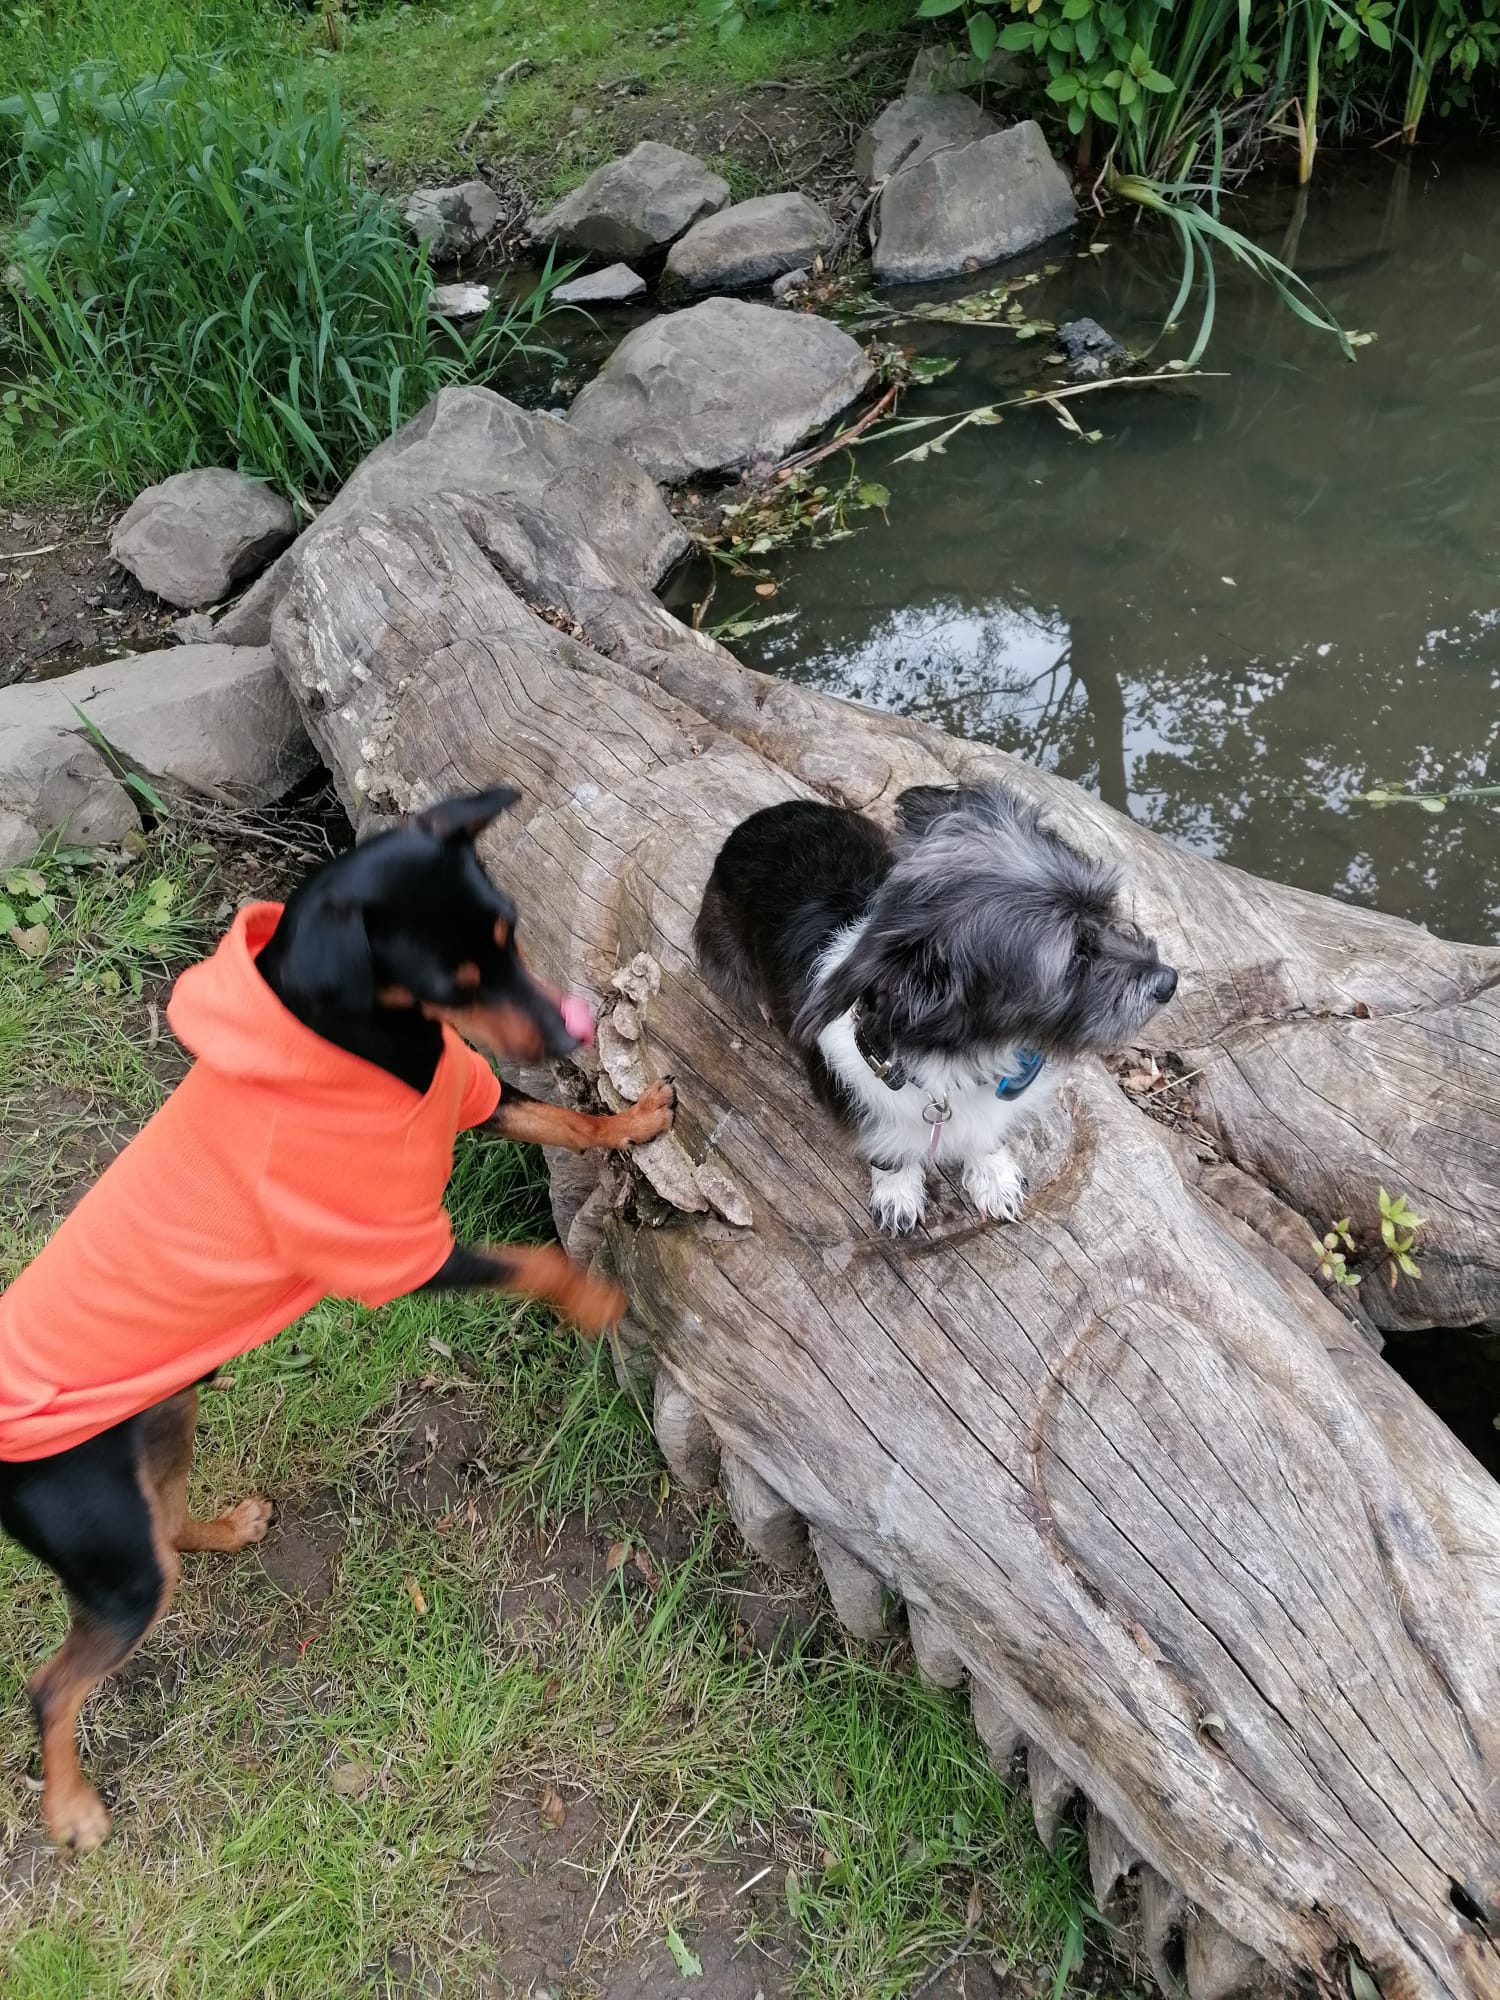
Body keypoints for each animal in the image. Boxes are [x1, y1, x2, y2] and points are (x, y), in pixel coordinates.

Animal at [0, 785, 673, 1852]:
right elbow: (531, 1260)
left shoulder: (472, 1093)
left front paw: (638, 1118)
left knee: (167, 1525)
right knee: (50, 1685)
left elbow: (561, 1118)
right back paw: (72, 1808)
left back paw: (228, 1530)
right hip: (112, 1554)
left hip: (163, 1427)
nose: (568, 1031)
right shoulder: (398, 1252)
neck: (379, 1051)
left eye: (510, 935)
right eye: (452, 978)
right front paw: (595, 1294)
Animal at [694, 783, 1176, 1234]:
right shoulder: (867, 1115)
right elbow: (890, 1152)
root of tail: (760, 819)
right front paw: (897, 1193)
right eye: (1076, 958)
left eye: (1108, 911)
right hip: (726, 960)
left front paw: (993, 1177)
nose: (1168, 982)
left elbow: (987, 1136)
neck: (967, 1057)